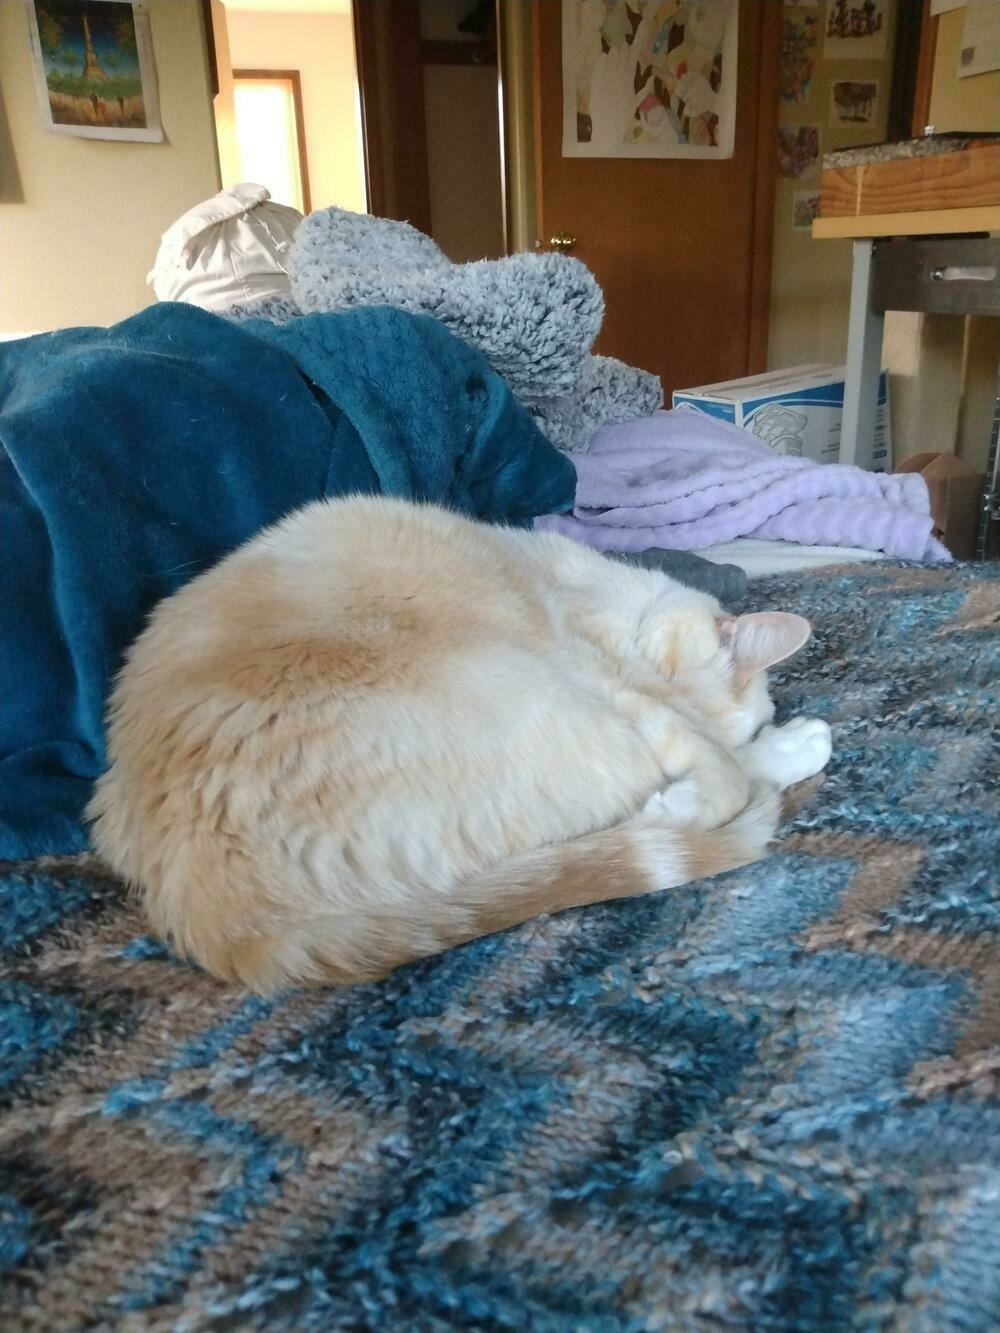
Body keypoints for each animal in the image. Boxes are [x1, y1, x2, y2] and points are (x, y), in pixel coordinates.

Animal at [90, 498, 832, 991]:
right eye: (677, 687)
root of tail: (212, 911)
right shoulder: (617, 685)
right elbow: (723, 765)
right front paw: (734, 769)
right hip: (556, 704)